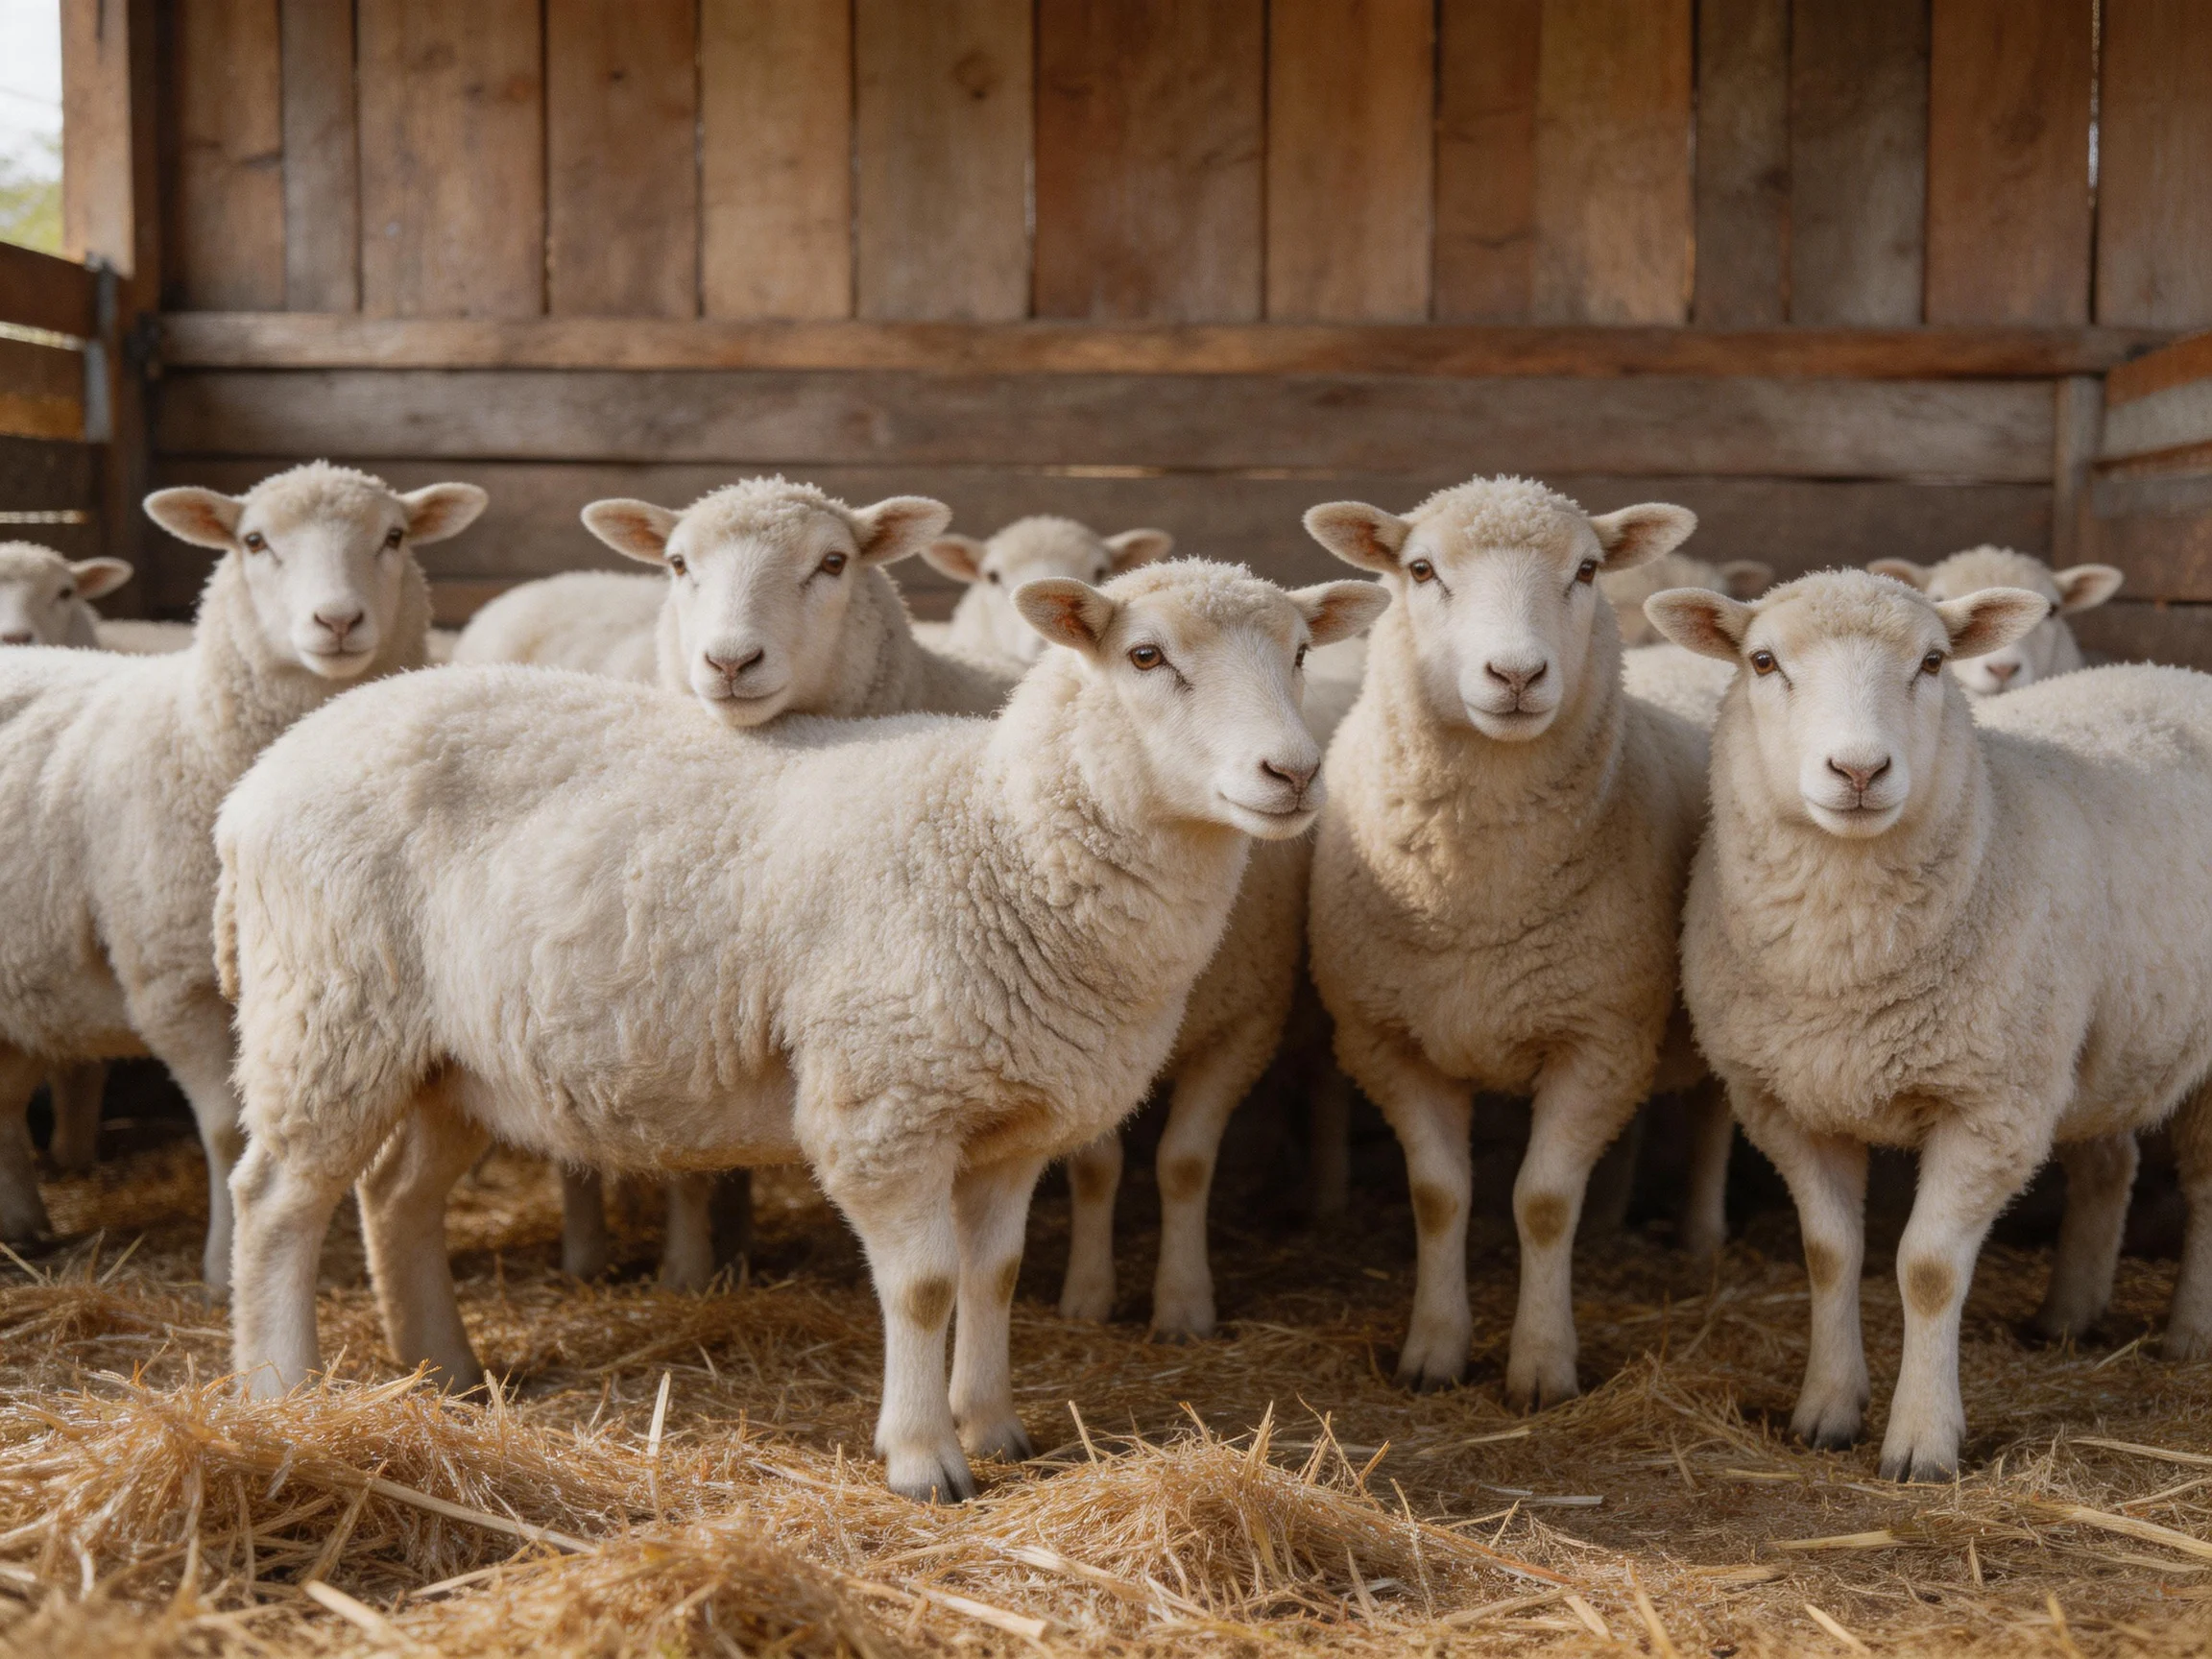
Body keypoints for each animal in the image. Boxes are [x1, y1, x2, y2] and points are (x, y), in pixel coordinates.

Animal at [0, 462, 484, 1280]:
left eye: (394, 536)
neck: (197, 733)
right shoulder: (172, 983)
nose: (337, 621)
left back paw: (25, 1223)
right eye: (254, 541)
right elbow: (230, 1130)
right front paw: (223, 1270)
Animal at [217, 559, 1388, 1501]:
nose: (1294, 773)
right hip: (326, 1014)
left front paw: (995, 1427)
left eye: (1298, 653)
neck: (1003, 832)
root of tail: (264, 779)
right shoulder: (883, 1102)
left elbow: (995, 1276)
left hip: (447, 1056)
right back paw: (279, 1390)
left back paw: (444, 1372)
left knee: (393, 1197)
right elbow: (923, 1286)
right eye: (1146, 655)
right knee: (276, 1200)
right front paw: (924, 1459)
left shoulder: (1012, 1121)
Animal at [1302, 477, 1708, 1406]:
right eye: (1420, 569)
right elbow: (1439, 1194)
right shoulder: (1387, 1038)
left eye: (1586, 569)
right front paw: (1434, 1350)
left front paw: (1542, 1365)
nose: (1516, 675)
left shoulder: (1597, 1039)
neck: (1480, 899)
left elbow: (1542, 1203)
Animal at [1647, 569, 2212, 1480]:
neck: (1845, 966)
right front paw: (1826, 1409)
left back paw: (2191, 1333)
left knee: (2204, 1186)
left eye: (1935, 661)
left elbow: (1928, 1269)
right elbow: (1829, 1255)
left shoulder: (1991, 1106)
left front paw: (1921, 1441)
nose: (1859, 768)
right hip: (2092, 1041)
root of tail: (2178, 671)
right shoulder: (1786, 1103)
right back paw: (2068, 1315)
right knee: (2109, 1165)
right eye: (1762, 661)